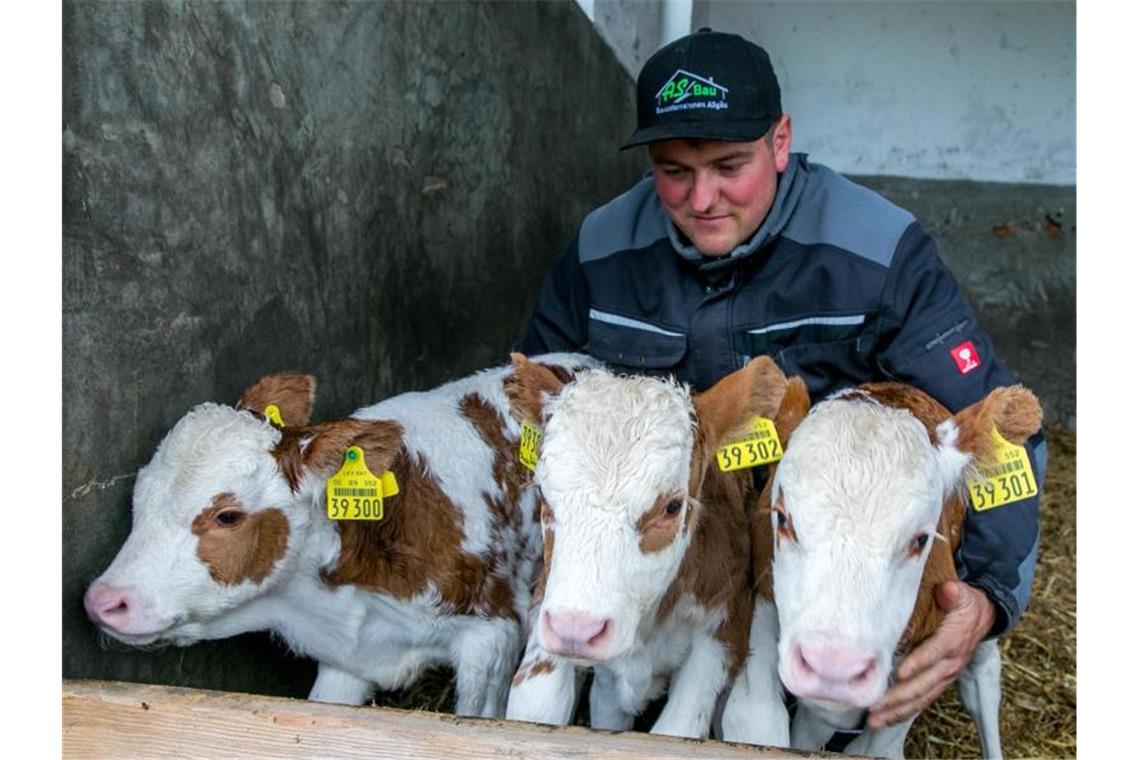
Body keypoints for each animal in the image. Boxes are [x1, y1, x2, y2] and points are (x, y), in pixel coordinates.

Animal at [501, 357, 793, 742]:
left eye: (672, 506)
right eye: (543, 494)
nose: (576, 629)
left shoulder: (724, 624)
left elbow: (678, 727)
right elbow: (539, 702)